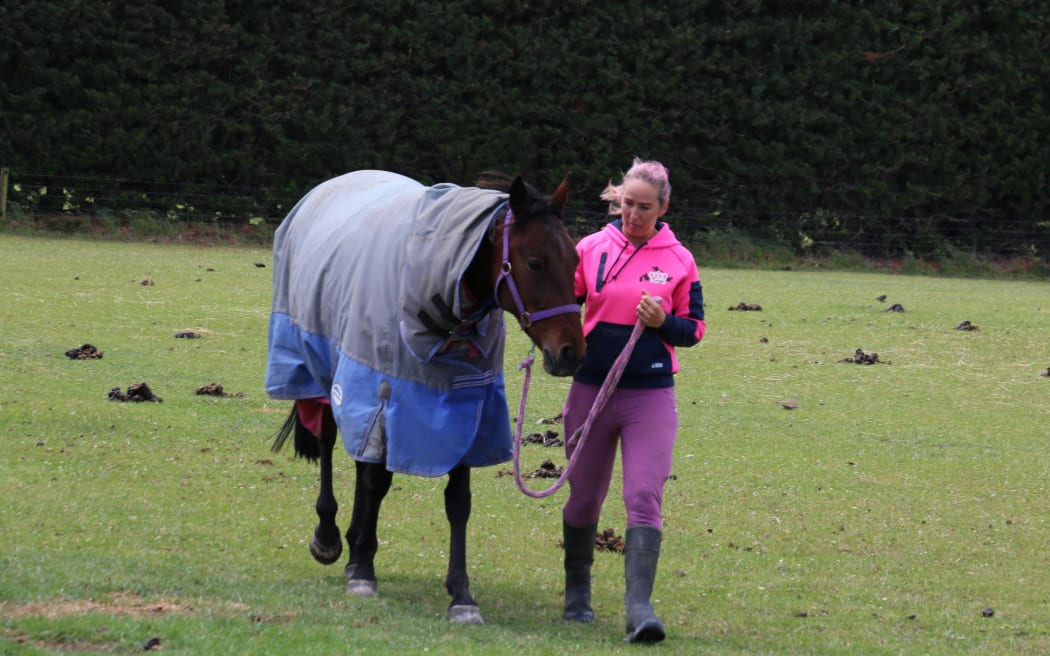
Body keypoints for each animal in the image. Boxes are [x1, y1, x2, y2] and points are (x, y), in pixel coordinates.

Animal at [265, 169, 585, 624]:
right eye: (535, 262)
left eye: (575, 261)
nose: (571, 352)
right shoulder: (382, 391)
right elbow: (377, 480)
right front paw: (363, 569)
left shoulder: (470, 414)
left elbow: (457, 502)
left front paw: (461, 594)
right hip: (322, 368)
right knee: (329, 442)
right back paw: (330, 538)